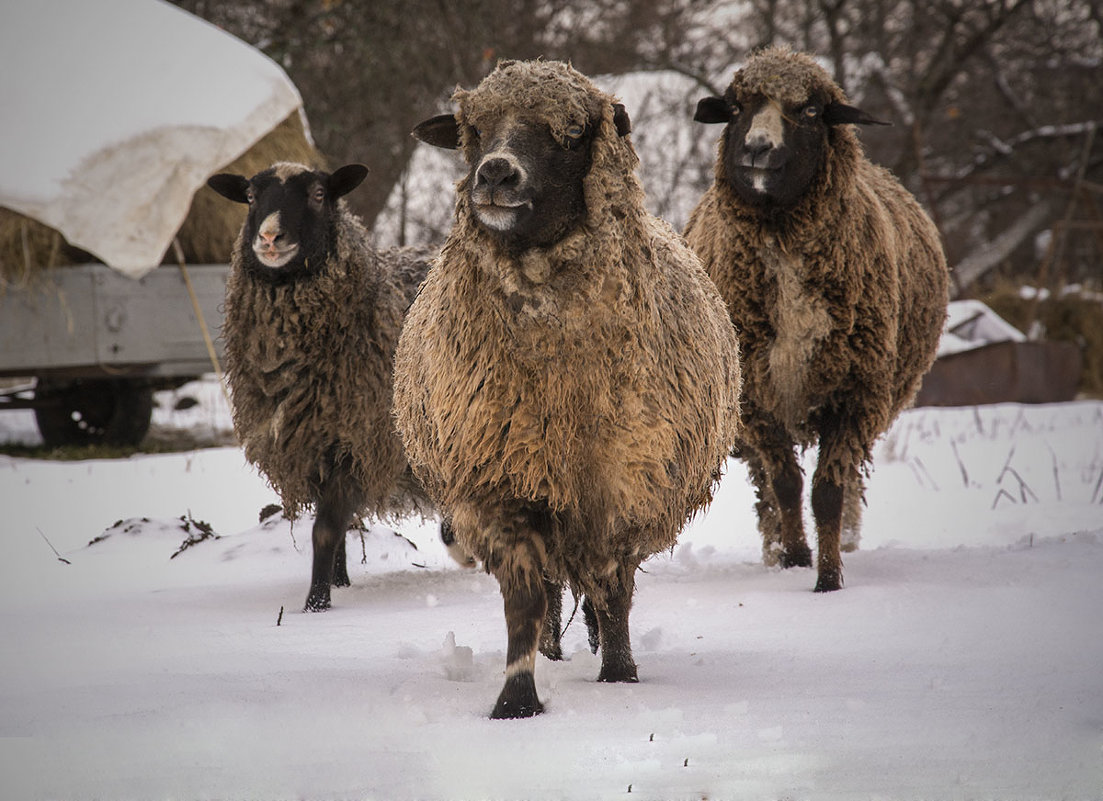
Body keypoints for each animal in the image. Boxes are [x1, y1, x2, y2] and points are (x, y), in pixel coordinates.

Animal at [207, 163, 434, 613]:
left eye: (317, 194)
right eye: (251, 196)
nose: (270, 237)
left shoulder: (352, 442)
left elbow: (326, 529)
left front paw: (316, 605)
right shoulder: (310, 445)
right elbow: (340, 530)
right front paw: (341, 584)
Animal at [394, 59, 741, 719]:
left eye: (574, 131)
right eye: (473, 128)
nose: (495, 172)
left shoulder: (621, 486)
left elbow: (614, 590)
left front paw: (621, 675)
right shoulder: (500, 479)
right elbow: (523, 599)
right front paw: (516, 700)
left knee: (599, 588)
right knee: (553, 587)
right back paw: (553, 652)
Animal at [679, 47, 948, 591]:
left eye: (808, 111)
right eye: (736, 108)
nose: (758, 149)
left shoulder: (854, 395)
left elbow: (827, 491)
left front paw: (828, 577)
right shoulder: (756, 400)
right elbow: (785, 484)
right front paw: (797, 556)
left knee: (846, 484)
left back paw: (844, 540)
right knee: (765, 486)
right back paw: (775, 548)